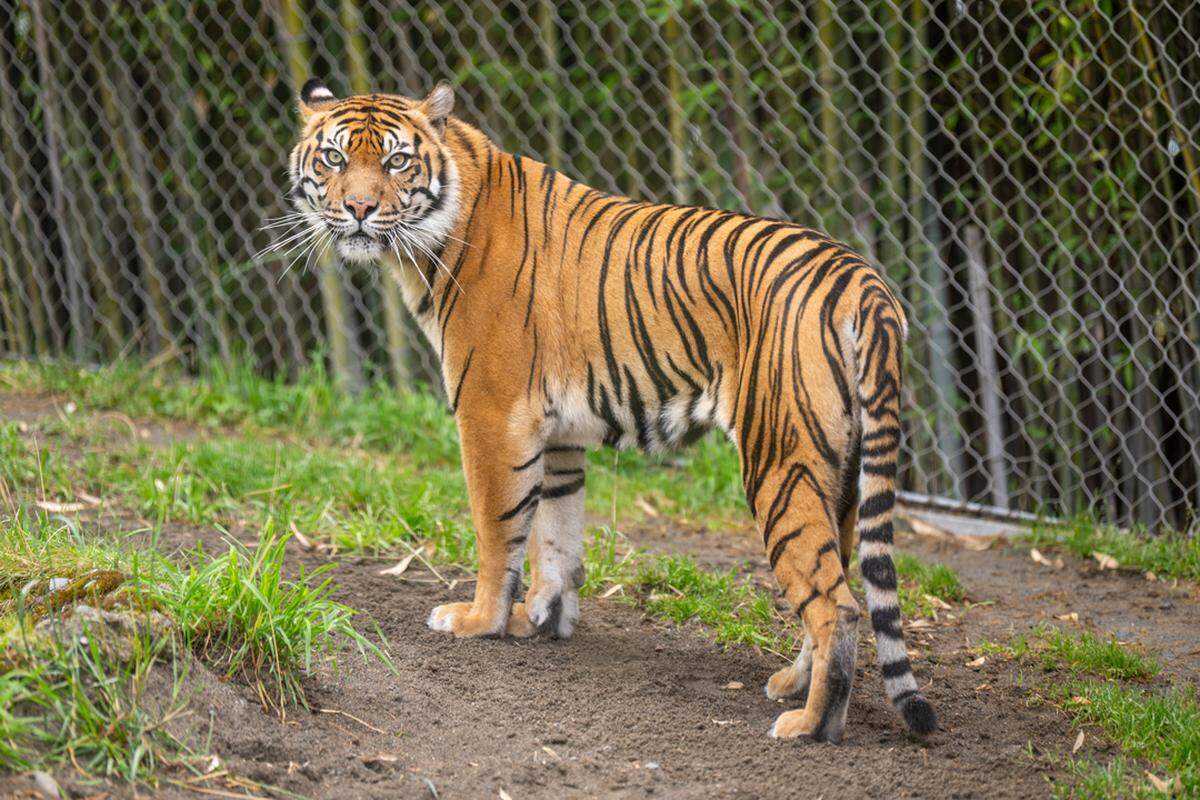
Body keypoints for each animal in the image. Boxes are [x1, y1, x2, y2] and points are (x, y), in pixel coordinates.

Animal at [287, 78, 936, 743]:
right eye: (334, 158)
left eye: (397, 162)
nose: (359, 209)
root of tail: (864, 281)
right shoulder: (556, 435)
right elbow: (555, 535)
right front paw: (539, 620)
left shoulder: (492, 414)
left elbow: (498, 529)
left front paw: (478, 620)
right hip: (842, 474)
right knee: (839, 582)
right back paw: (790, 684)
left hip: (780, 460)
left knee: (837, 603)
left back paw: (809, 723)